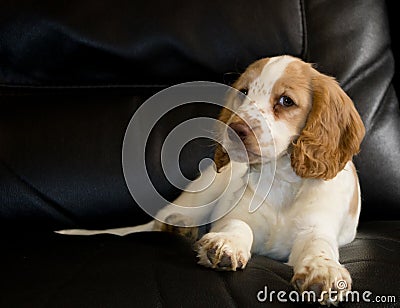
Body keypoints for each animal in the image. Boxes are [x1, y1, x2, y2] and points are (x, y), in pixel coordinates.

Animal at [60, 55, 366, 306]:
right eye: (243, 92)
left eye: (286, 101)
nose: (235, 129)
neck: (279, 178)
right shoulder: (237, 213)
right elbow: (237, 225)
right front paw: (226, 244)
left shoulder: (317, 227)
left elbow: (319, 246)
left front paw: (324, 270)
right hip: (204, 192)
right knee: (162, 218)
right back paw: (179, 227)